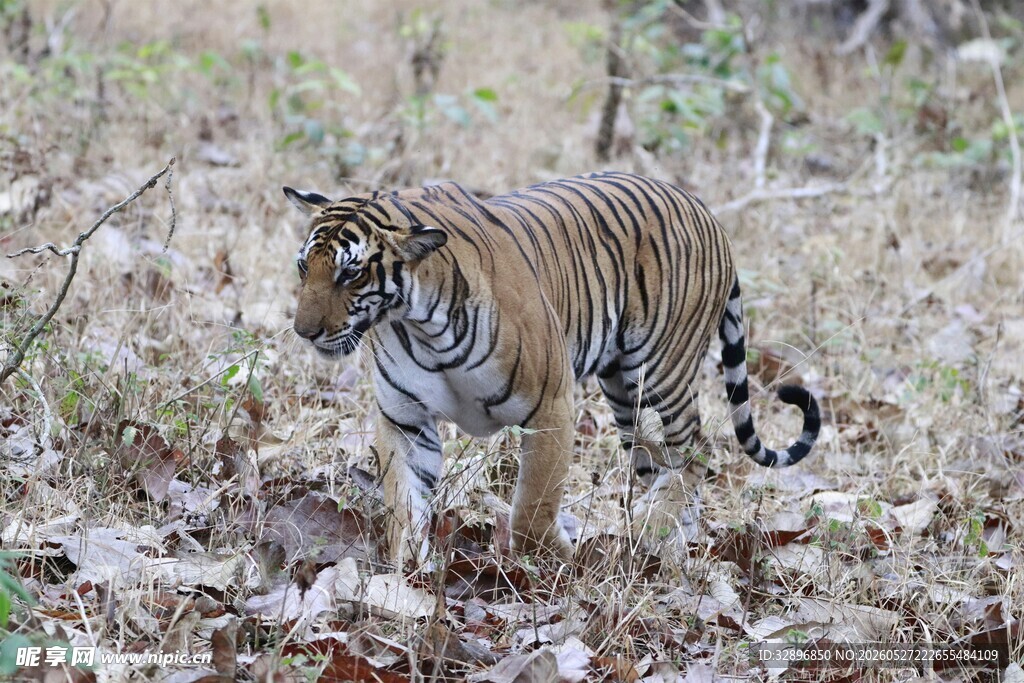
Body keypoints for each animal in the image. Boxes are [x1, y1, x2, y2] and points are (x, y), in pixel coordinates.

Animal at [284, 171, 820, 565]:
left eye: (351, 273)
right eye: (303, 267)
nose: (303, 331)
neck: (417, 323)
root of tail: (704, 208)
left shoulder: (550, 408)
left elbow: (532, 508)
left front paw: (562, 561)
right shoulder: (405, 419)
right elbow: (404, 506)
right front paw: (406, 577)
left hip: (661, 370)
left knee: (695, 451)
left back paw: (656, 530)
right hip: (623, 391)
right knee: (657, 460)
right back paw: (663, 541)